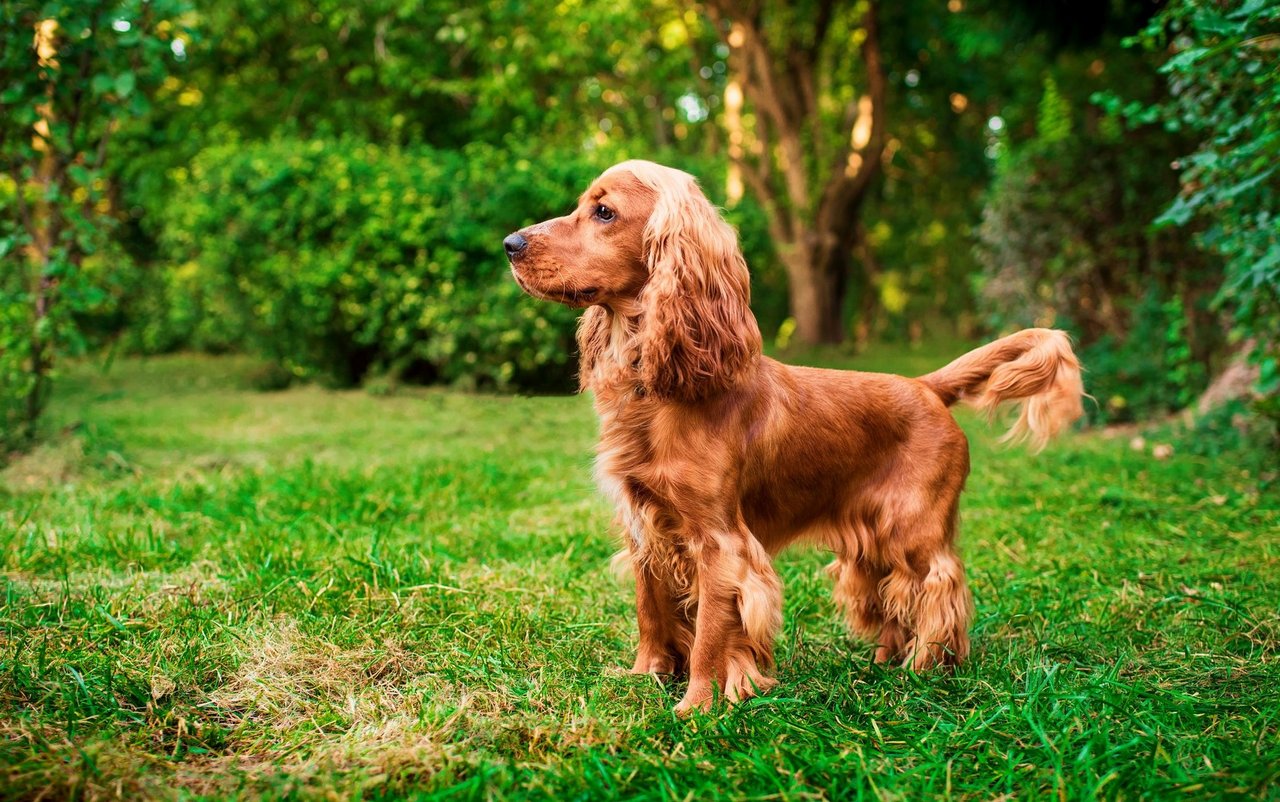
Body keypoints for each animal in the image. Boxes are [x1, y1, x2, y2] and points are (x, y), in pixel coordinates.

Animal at [499, 159, 1080, 711]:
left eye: (604, 212)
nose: (510, 244)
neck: (655, 388)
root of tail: (926, 385)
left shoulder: (720, 543)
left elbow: (710, 632)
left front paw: (698, 705)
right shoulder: (643, 529)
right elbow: (651, 611)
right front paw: (647, 677)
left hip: (912, 531)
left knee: (940, 594)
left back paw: (923, 670)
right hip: (870, 540)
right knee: (892, 599)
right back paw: (883, 663)